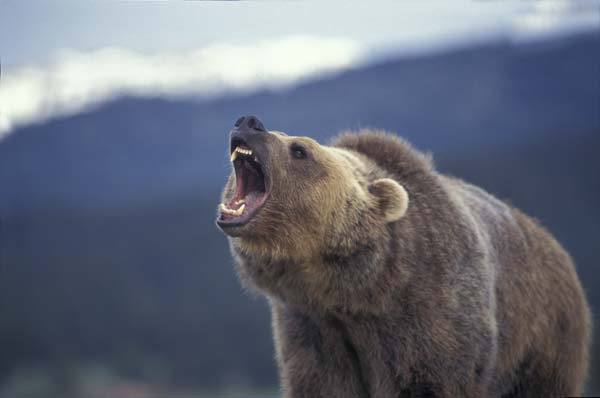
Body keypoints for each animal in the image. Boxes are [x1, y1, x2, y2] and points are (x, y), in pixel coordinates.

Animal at [216, 115, 592, 398]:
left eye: (299, 149)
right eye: (289, 139)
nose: (249, 122)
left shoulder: (431, 313)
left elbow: (430, 380)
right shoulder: (310, 328)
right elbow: (321, 385)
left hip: (543, 336)